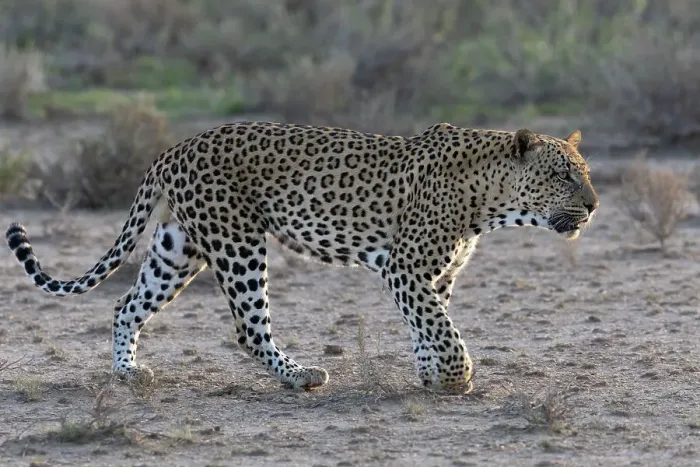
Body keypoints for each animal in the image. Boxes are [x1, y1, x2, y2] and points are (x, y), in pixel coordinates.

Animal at [5, 121, 598, 392]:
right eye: (563, 175)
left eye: (585, 172)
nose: (594, 205)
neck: (490, 198)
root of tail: (173, 148)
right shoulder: (405, 268)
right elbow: (440, 327)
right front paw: (456, 378)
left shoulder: (436, 274)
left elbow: (428, 326)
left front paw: (431, 375)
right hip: (238, 241)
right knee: (249, 328)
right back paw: (299, 375)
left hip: (179, 246)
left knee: (125, 303)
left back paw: (128, 371)